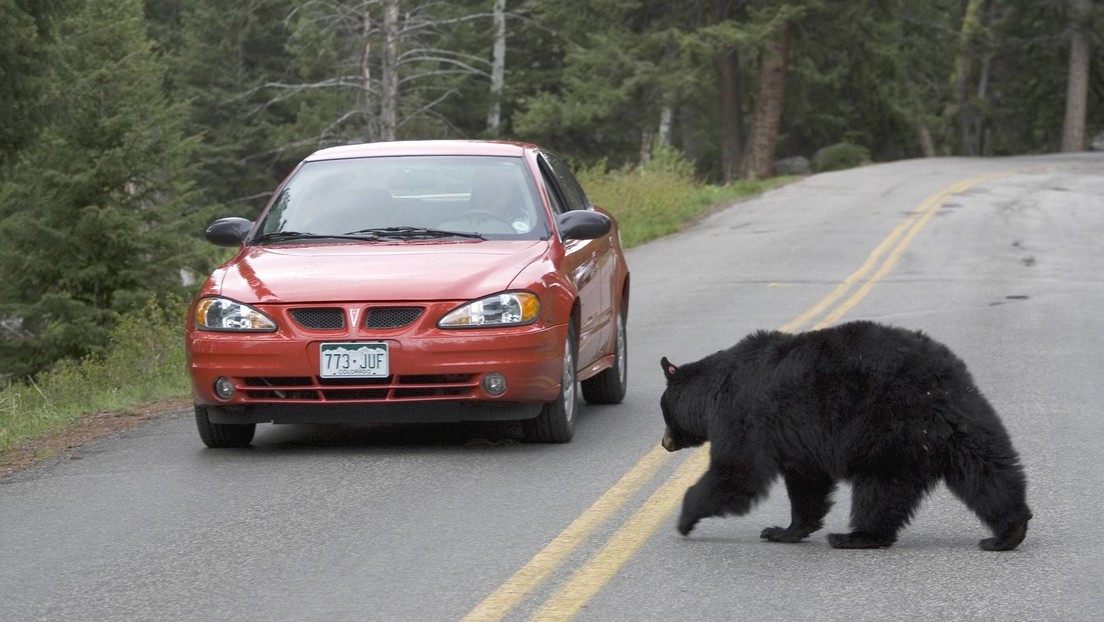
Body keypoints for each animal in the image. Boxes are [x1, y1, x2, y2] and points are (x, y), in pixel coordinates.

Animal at [662, 320, 1033, 550]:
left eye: (664, 410)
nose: (664, 443)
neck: (712, 388)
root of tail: (938, 384)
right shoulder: (798, 443)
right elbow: (807, 483)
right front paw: (785, 531)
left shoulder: (742, 414)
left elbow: (737, 471)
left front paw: (685, 518)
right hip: (965, 422)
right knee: (988, 472)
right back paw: (1008, 532)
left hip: (883, 428)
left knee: (879, 488)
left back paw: (854, 537)